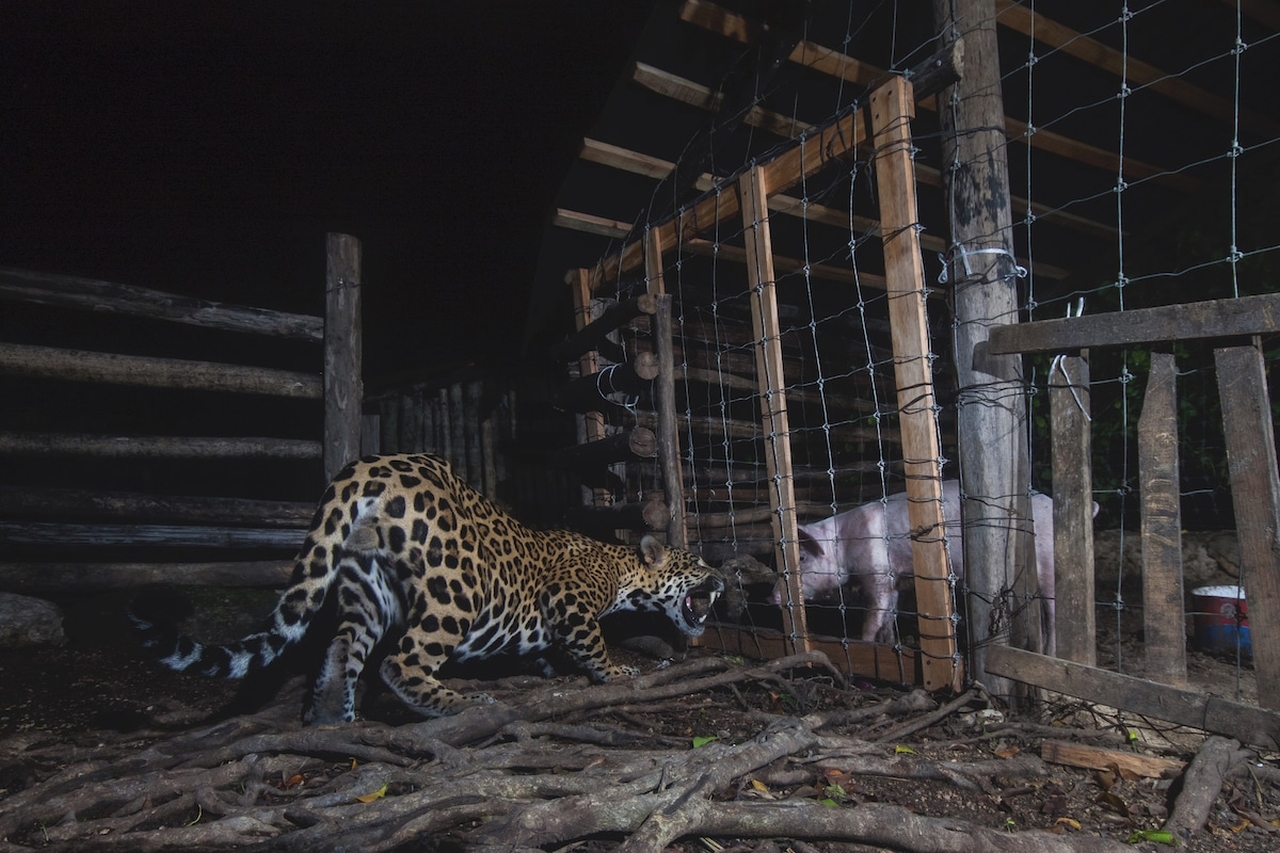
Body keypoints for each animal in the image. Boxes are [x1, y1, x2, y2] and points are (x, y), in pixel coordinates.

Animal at [778, 479, 1070, 650]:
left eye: (802, 558)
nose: (772, 596)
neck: (845, 543)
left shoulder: (877, 571)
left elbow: (874, 614)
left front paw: (865, 645)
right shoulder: (894, 577)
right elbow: (889, 614)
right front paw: (890, 644)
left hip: (1046, 562)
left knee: (1053, 613)